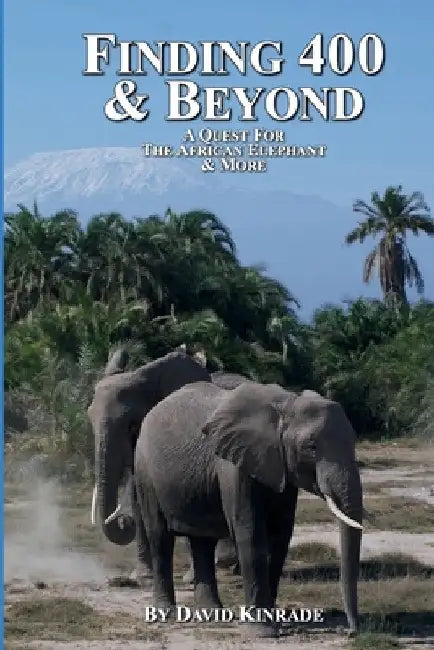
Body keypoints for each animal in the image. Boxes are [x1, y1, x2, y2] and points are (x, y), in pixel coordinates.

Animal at [87, 348, 211, 579]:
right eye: (90, 420)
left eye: (133, 424)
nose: (125, 522)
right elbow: (139, 497)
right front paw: (142, 575)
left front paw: (191, 579)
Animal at [133, 381, 363, 634]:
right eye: (310, 447)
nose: (351, 631)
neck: (286, 404)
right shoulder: (234, 464)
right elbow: (250, 532)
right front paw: (264, 632)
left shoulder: (279, 466)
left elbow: (280, 534)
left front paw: (274, 620)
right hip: (145, 472)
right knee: (160, 537)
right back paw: (167, 615)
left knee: (202, 542)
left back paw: (213, 615)